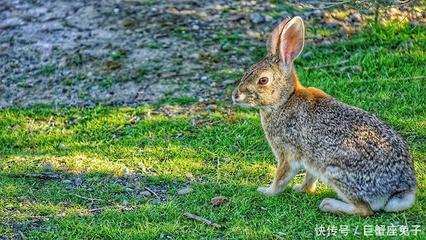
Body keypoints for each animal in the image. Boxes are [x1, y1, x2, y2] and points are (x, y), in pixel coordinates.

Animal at [233, 16, 416, 216]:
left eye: (263, 80)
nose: (235, 96)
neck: (284, 101)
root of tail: (401, 190)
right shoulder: (311, 160)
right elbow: (309, 178)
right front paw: (300, 188)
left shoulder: (287, 154)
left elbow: (281, 178)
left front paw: (266, 191)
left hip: (336, 172)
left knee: (364, 209)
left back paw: (328, 204)